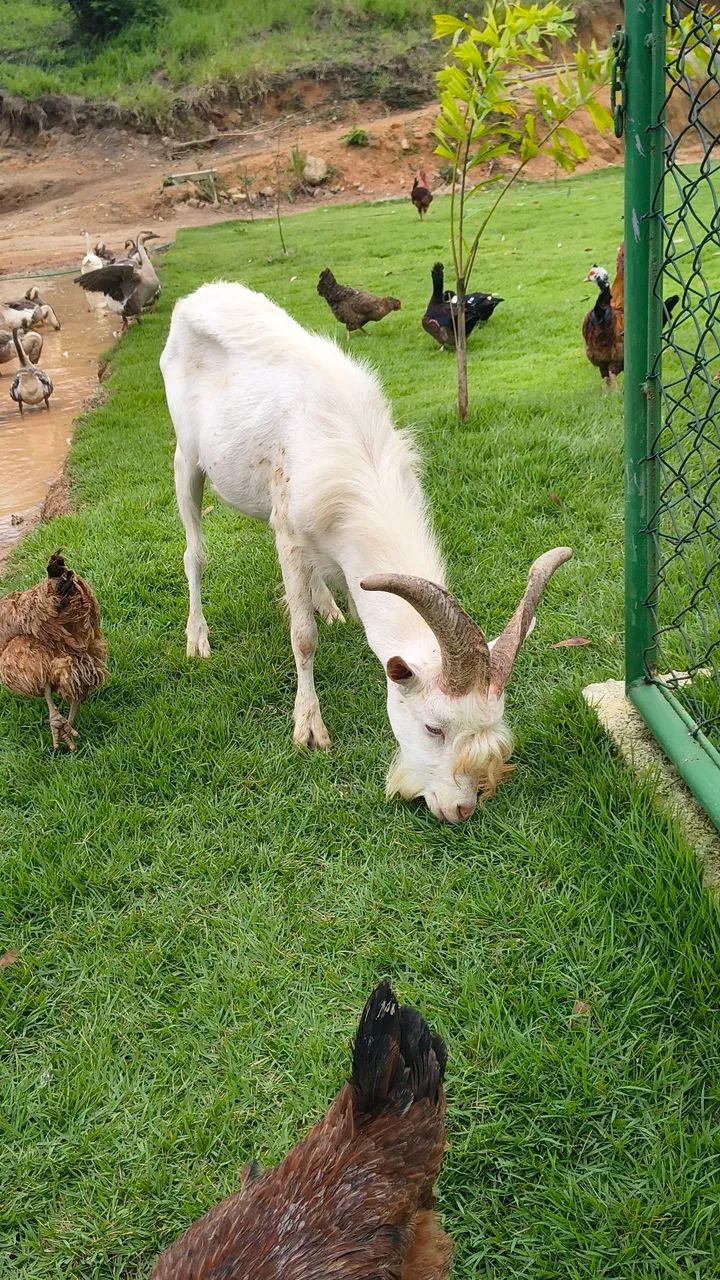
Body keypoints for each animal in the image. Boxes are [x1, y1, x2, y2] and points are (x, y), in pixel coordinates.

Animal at [160, 281, 571, 823]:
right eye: (433, 728)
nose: (462, 809)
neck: (354, 454)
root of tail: (197, 297)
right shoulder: (290, 532)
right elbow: (302, 637)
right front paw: (309, 728)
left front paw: (338, 610)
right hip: (186, 458)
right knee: (194, 554)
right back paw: (198, 637)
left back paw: (327, 605)